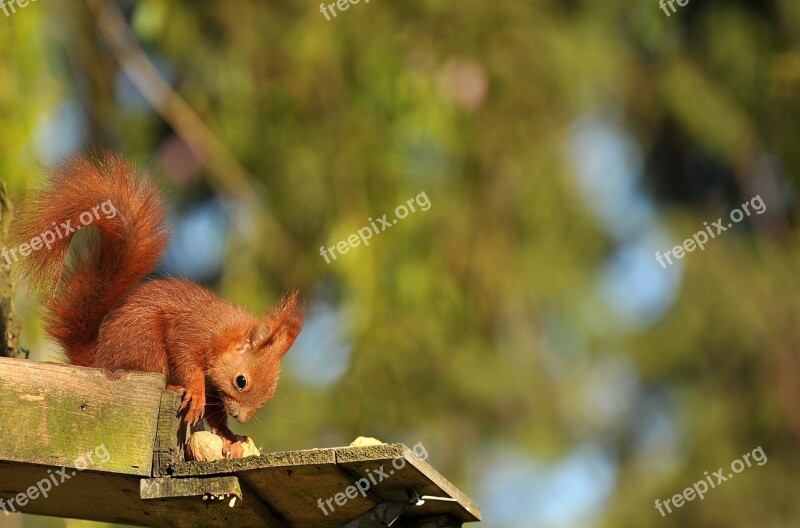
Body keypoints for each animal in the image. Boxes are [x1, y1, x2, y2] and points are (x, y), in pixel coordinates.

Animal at [12, 153, 306, 458]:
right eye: (241, 381)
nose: (242, 417)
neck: (223, 332)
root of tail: (98, 360)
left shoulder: (216, 385)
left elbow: (215, 411)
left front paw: (230, 436)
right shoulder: (190, 330)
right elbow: (187, 360)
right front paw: (196, 393)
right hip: (146, 345)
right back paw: (174, 386)